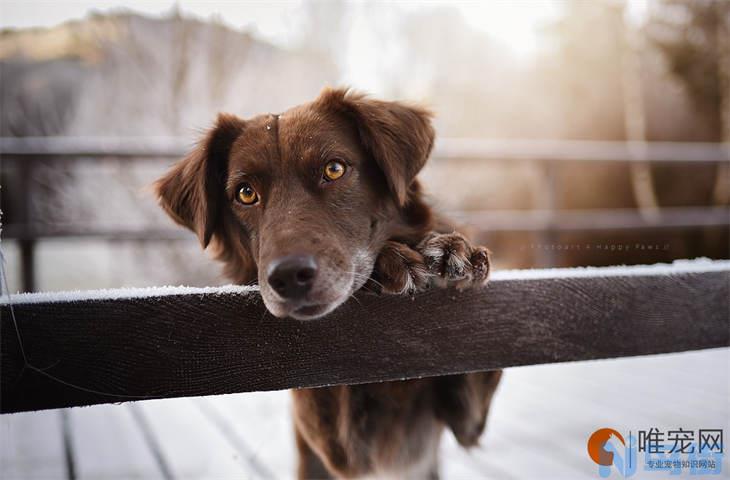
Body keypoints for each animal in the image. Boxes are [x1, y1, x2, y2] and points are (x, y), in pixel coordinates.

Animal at [154, 88, 500, 478]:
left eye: (333, 169)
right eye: (245, 193)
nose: (288, 277)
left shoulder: (468, 422)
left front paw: (453, 250)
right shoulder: (343, 451)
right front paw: (390, 261)